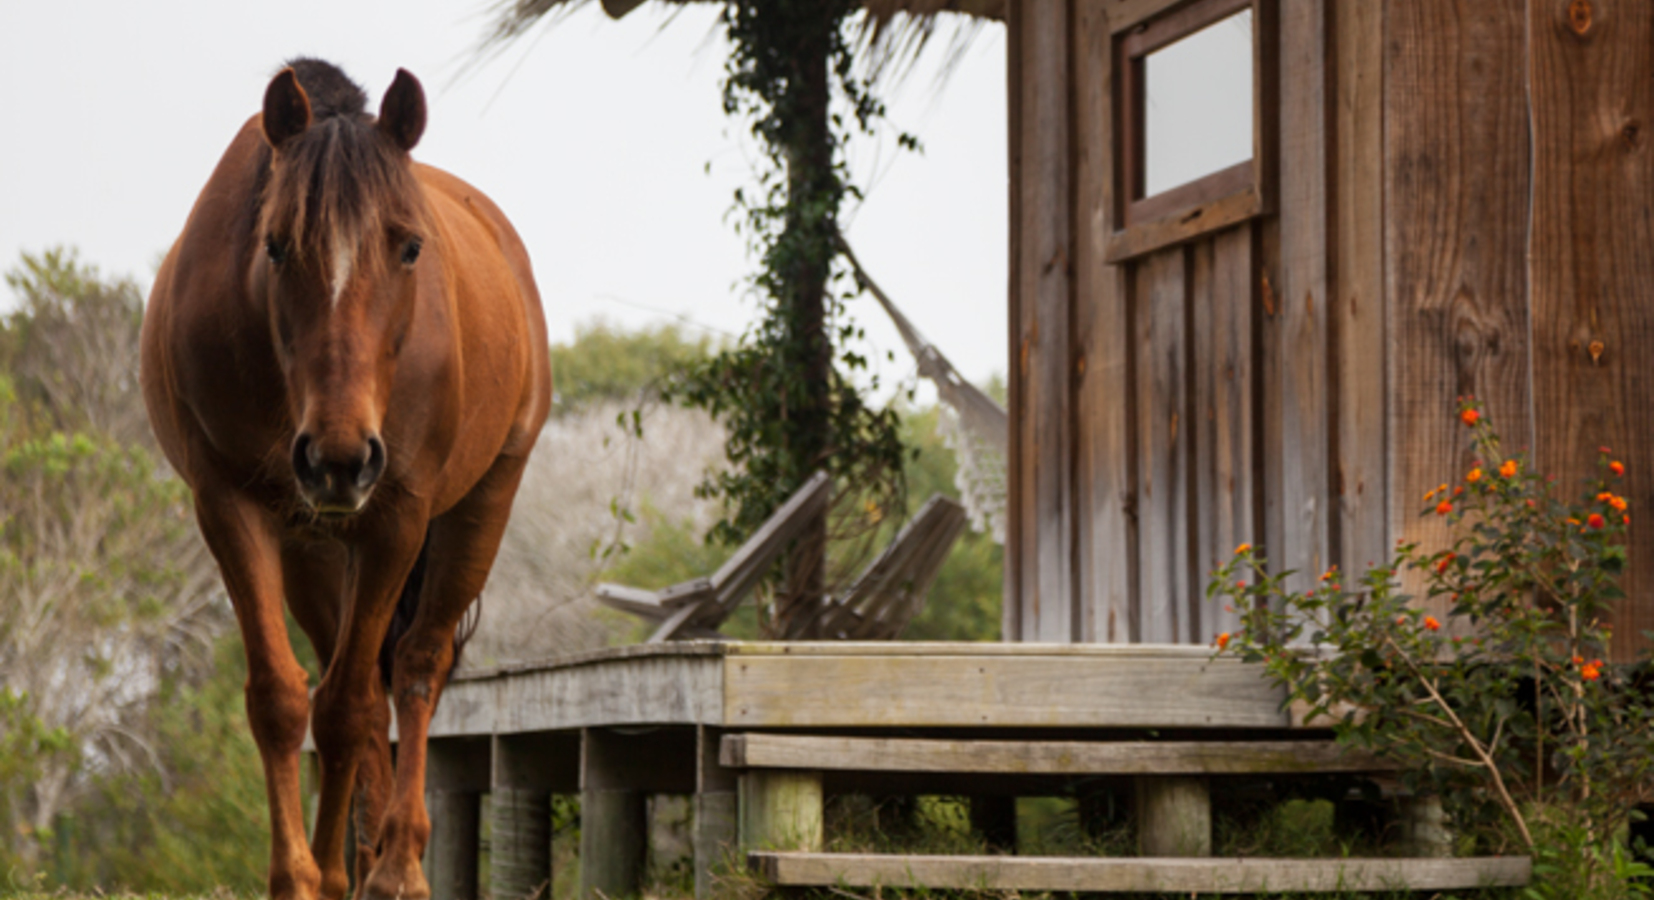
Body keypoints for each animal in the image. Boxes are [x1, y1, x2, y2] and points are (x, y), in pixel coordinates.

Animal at [143, 59, 555, 893]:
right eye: (274, 247)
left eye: (409, 247)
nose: (338, 458)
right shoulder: (230, 507)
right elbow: (285, 699)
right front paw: (304, 878)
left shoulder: (396, 515)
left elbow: (349, 707)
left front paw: (352, 870)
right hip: (313, 550)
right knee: (356, 678)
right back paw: (360, 862)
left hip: (479, 507)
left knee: (416, 667)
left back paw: (396, 863)